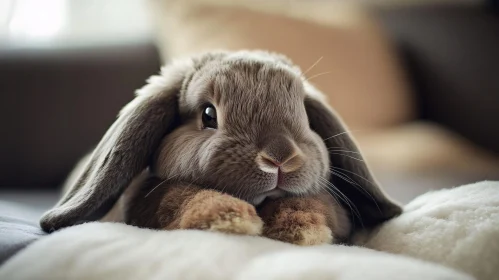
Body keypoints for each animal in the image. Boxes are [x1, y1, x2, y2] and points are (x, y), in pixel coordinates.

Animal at [41, 50, 404, 245]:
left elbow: (312, 203)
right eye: (208, 114)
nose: (280, 158)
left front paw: (303, 228)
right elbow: (184, 196)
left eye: (304, 114)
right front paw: (231, 218)